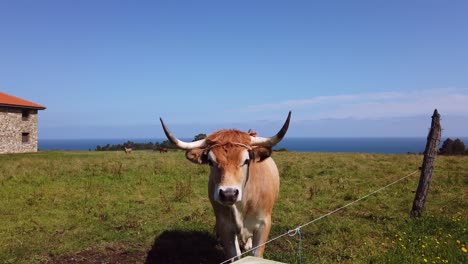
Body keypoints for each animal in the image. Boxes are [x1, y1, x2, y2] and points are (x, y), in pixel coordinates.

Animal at [161, 111, 292, 260]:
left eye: (246, 160)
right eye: (210, 161)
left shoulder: (263, 224)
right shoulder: (225, 227)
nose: (229, 194)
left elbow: (256, 254)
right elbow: (235, 256)